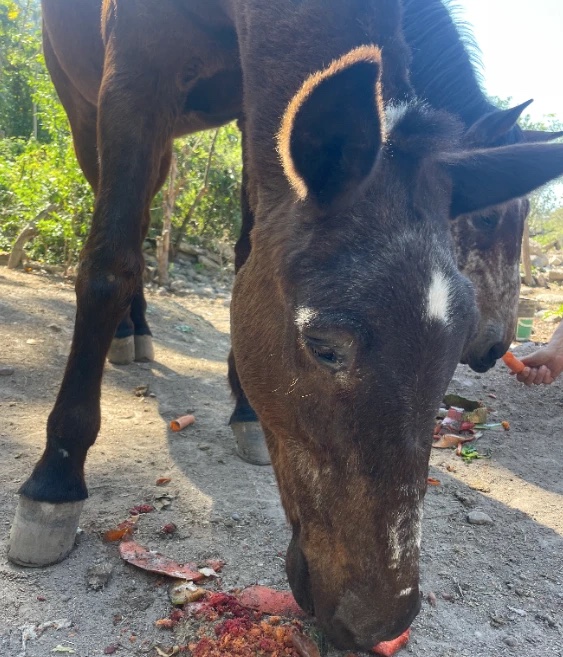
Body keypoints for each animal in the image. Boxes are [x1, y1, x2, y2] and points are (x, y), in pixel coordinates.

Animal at [10, 0, 563, 650]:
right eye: (323, 346)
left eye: (451, 347)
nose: (379, 620)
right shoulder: (134, 79)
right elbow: (107, 265)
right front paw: (55, 478)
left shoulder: (259, 115)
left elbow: (250, 247)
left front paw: (247, 409)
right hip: (87, 111)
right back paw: (128, 334)